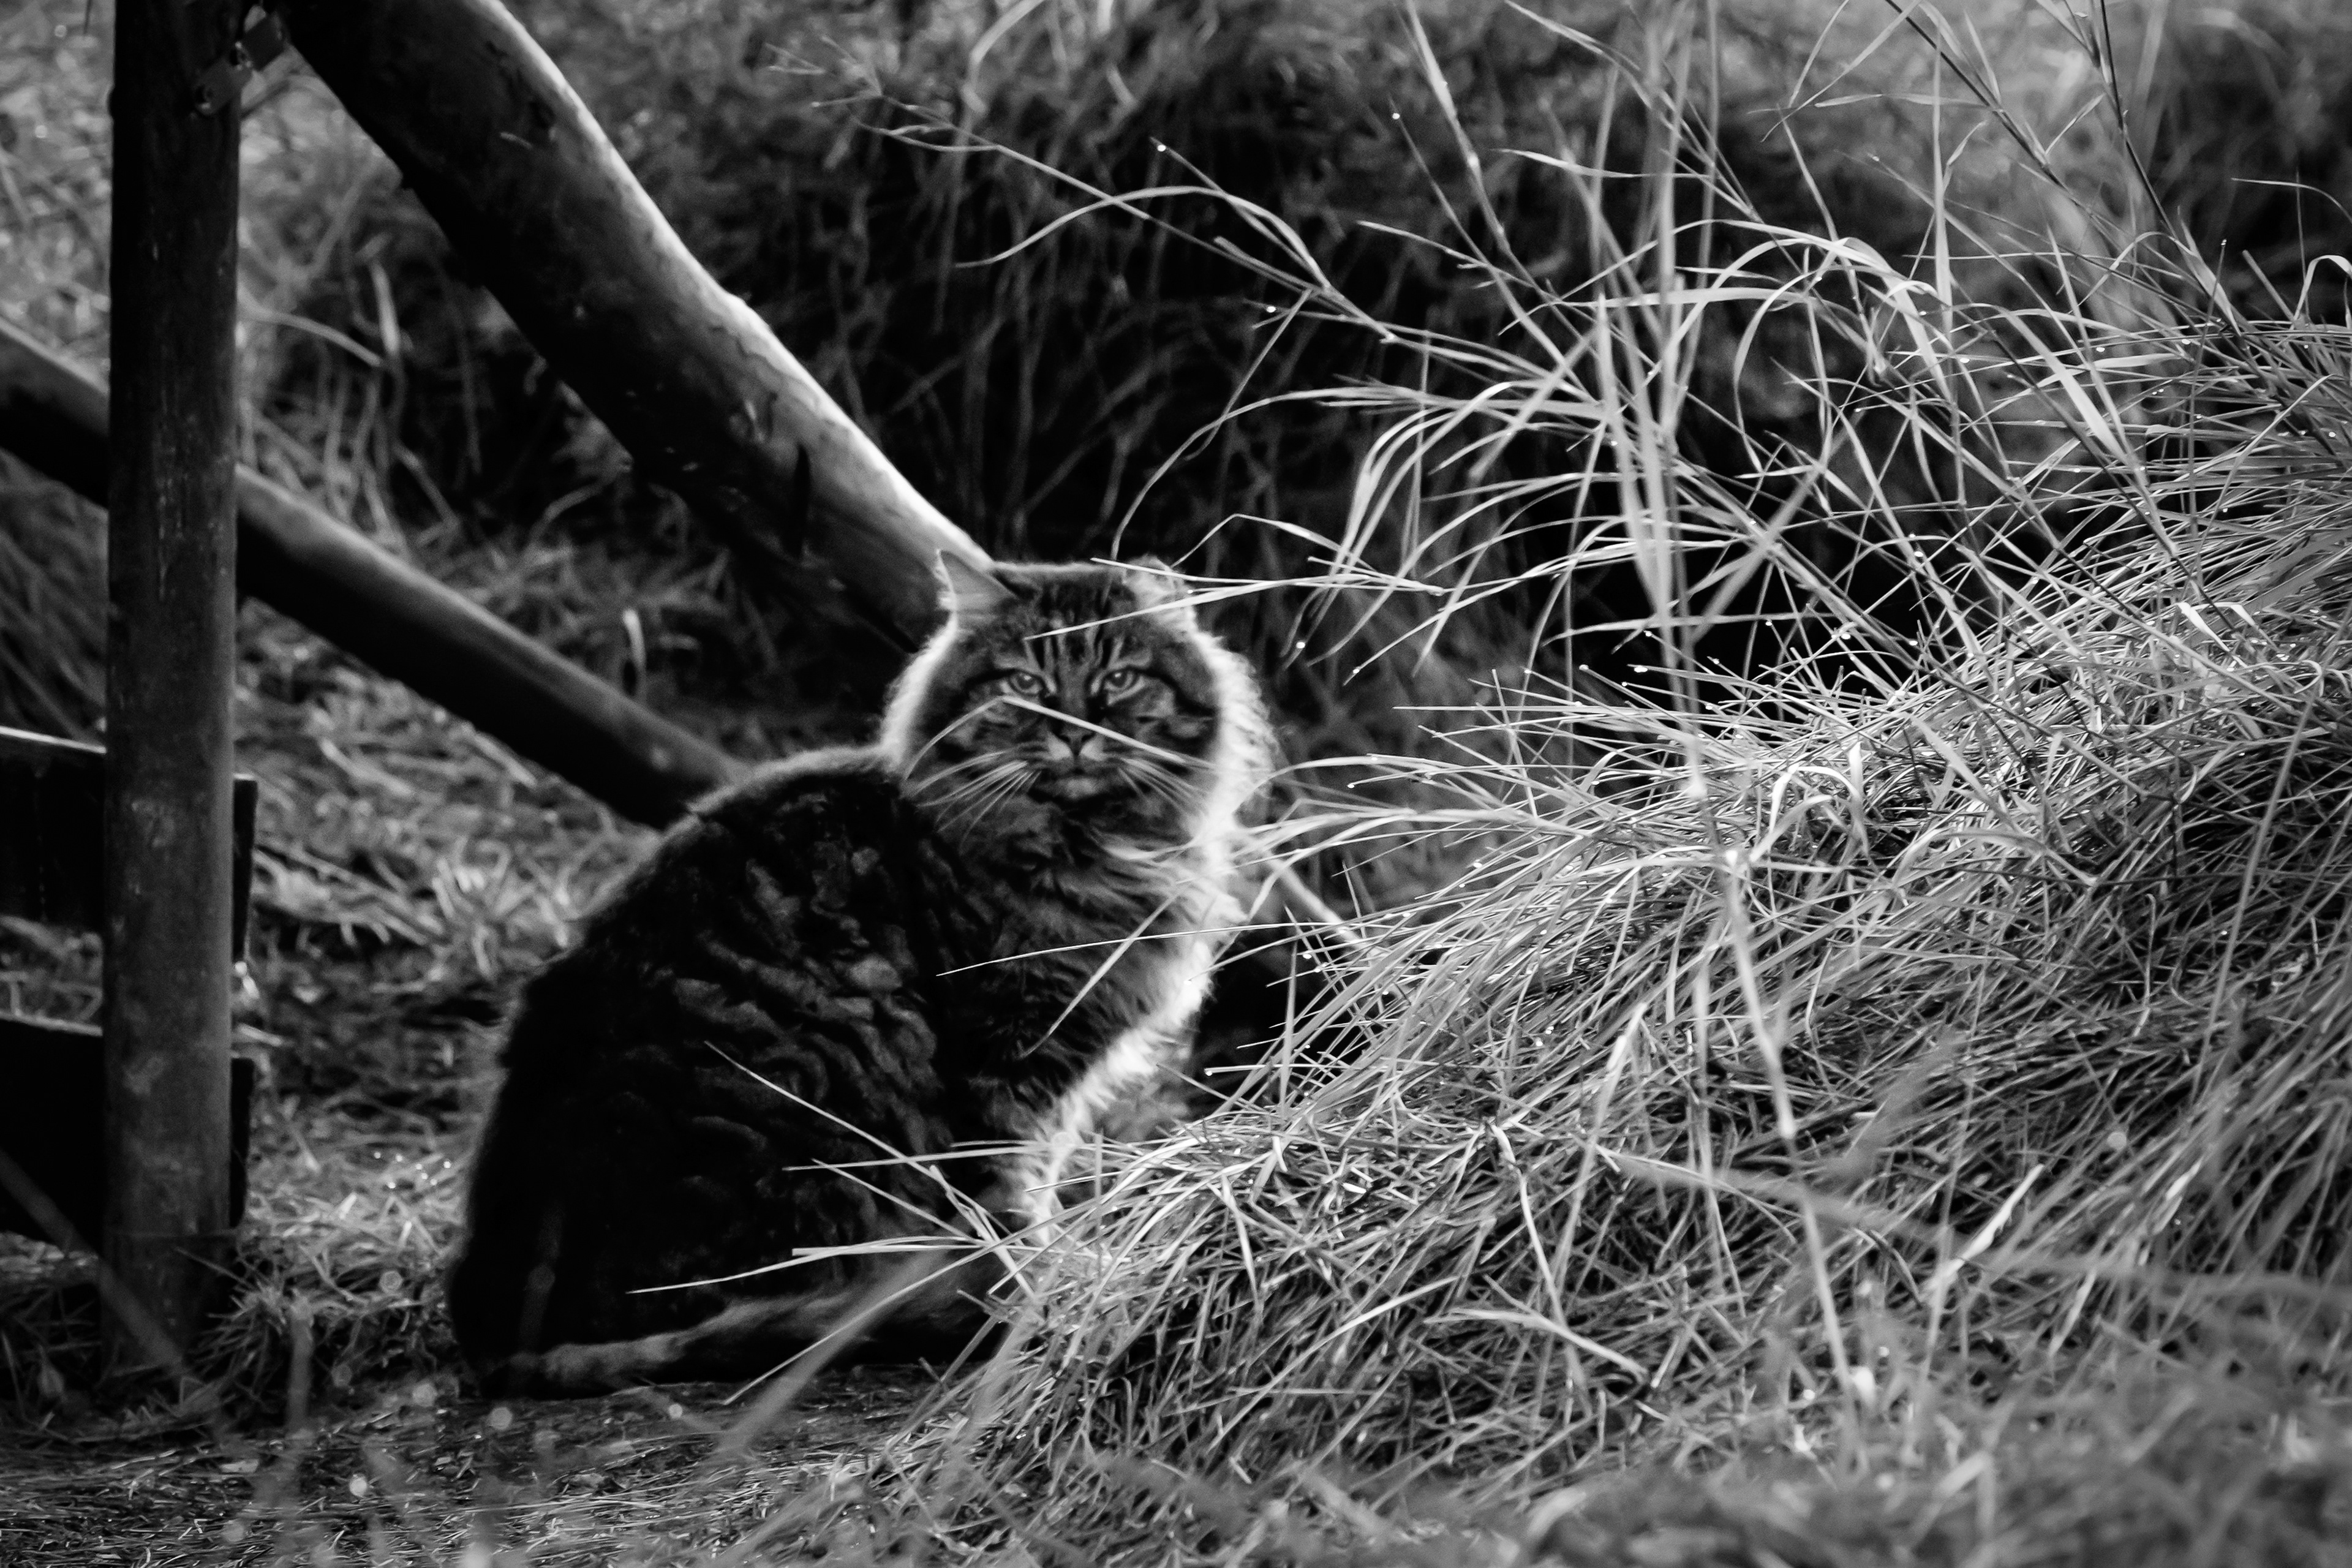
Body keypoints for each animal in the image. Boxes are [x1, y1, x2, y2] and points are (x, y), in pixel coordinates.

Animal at [444, 554, 1273, 1393]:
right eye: (1026, 683)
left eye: (1120, 679)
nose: (1074, 733)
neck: (1091, 842)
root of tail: (495, 1329)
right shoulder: (1000, 1063)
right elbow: (1010, 1198)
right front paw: (1038, 1291)